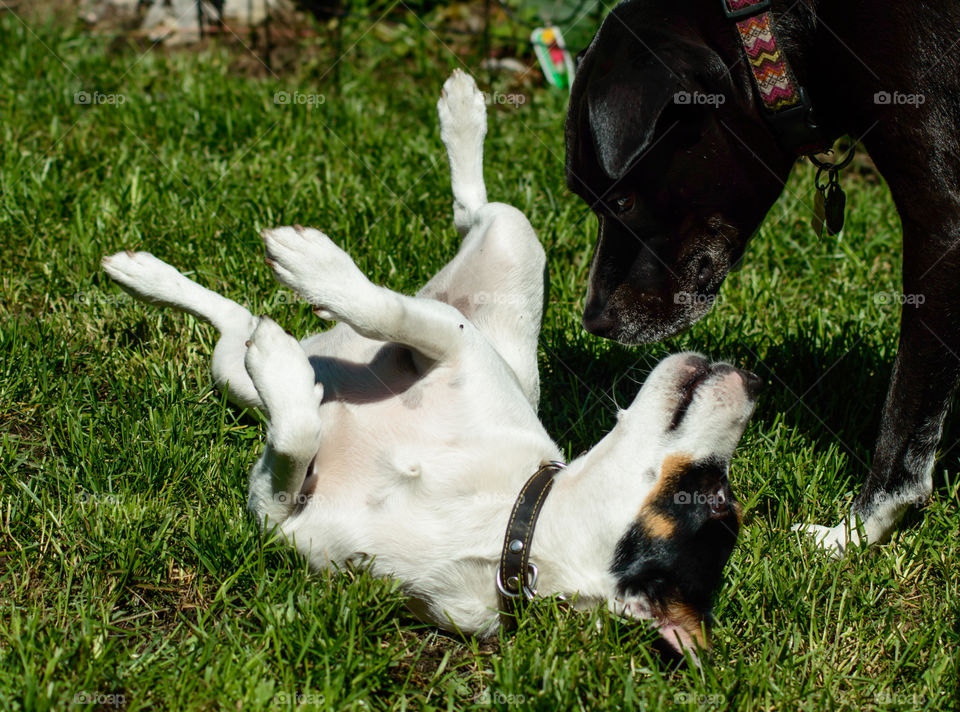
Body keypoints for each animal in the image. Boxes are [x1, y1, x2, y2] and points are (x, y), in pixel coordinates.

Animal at [99, 69, 756, 660]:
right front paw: (321, 269)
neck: (504, 523)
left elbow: (294, 434)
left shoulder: (276, 522)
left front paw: (286, 368)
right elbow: (385, 311)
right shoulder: (457, 346)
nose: (750, 381)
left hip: (231, 372)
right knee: (471, 215)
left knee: (243, 327)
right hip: (511, 247)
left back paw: (216, 314)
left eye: (717, 496)